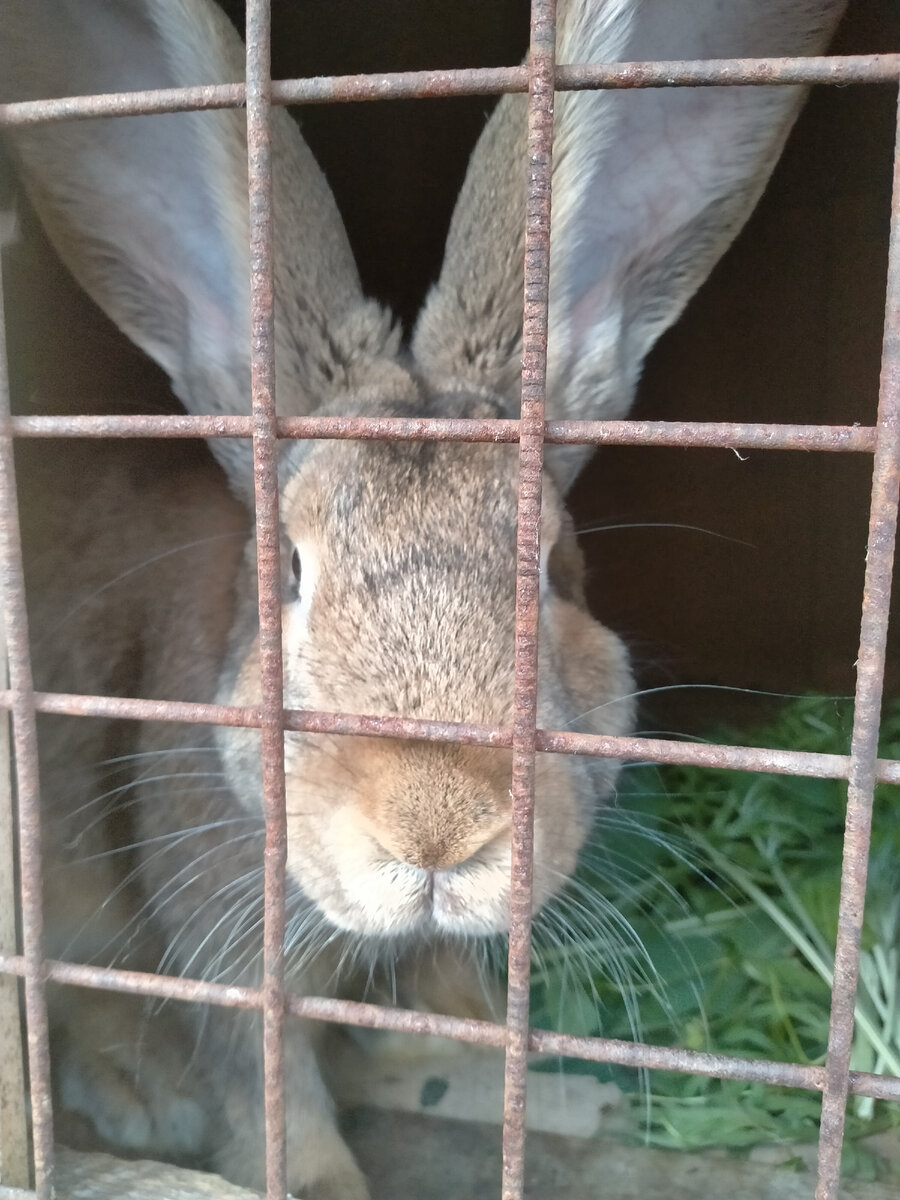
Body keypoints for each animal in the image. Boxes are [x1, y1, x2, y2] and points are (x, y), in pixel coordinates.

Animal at [1, 2, 844, 1200]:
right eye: (286, 569)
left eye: (552, 566)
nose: (437, 831)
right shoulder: (228, 953)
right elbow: (274, 1099)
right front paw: (316, 1177)